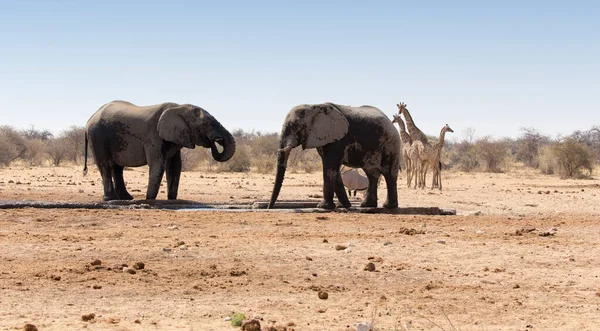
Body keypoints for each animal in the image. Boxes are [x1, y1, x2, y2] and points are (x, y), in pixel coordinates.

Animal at [82, 100, 237, 201]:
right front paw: (149, 199)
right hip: (97, 137)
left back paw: (126, 198)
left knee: (117, 168)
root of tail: (89, 119)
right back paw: (110, 199)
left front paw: (172, 199)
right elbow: (158, 165)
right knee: (105, 166)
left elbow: (175, 166)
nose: (215, 140)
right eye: (207, 124)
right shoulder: (153, 137)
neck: (179, 107)